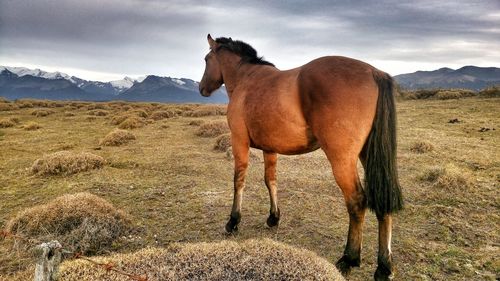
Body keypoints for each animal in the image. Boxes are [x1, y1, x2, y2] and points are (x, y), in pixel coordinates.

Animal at [198, 34, 402, 278]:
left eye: (206, 59)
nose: (201, 88)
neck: (245, 79)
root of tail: (374, 72)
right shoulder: (270, 148)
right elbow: (270, 180)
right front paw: (273, 217)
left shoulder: (239, 142)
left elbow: (239, 180)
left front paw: (233, 221)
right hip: (370, 156)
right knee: (383, 203)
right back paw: (384, 267)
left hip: (342, 160)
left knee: (356, 201)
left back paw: (349, 258)